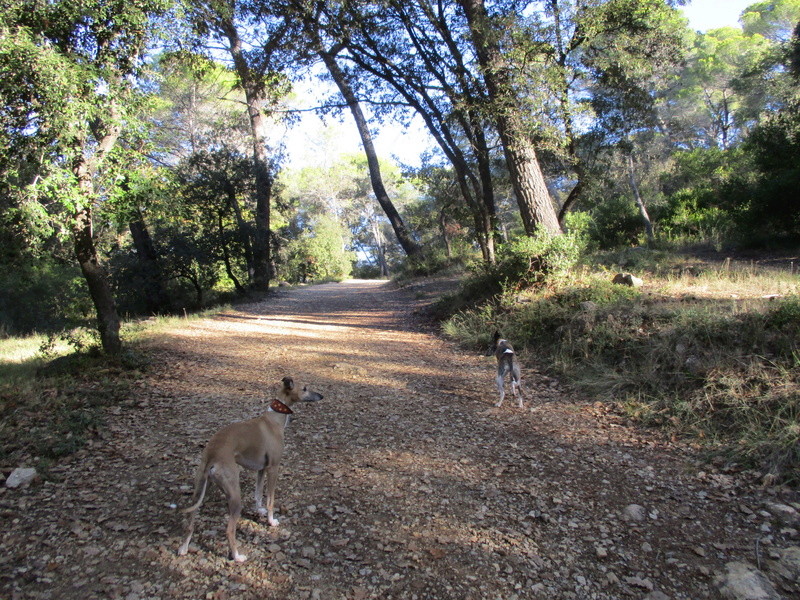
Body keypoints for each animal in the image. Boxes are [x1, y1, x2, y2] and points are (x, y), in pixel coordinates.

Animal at [177, 376, 322, 564]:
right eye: (304, 388)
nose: (321, 395)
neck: (274, 419)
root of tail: (212, 456)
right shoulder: (273, 468)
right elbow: (270, 500)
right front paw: (271, 521)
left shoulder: (261, 469)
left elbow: (258, 494)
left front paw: (259, 510)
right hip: (234, 495)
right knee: (229, 530)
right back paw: (237, 556)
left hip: (200, 488)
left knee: (190, 521)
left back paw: (183, 548)